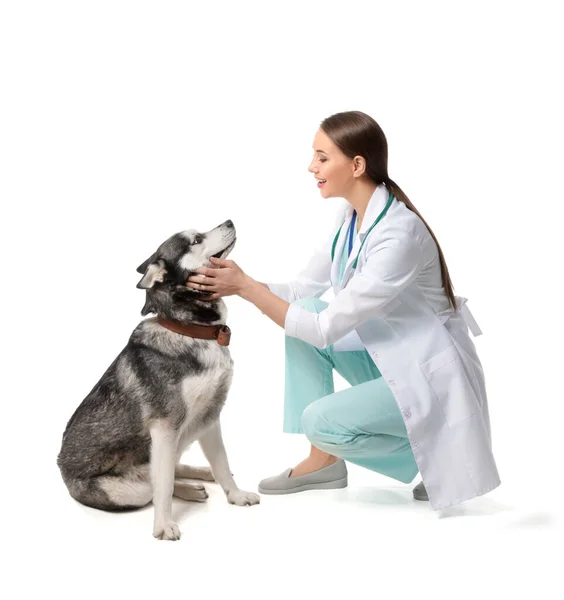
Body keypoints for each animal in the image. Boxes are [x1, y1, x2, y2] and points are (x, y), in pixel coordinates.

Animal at [57, 217, 260, 540]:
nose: (229, 220)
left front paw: (236, 495)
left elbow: (221, 463)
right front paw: (163, 525)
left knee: (170, 468)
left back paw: (199, 475)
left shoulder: (210, 416)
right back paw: (189, 488)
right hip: (130, 487)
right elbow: (162, 486)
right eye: (195, 240)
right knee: (153, 485)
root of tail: (61, 470)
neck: (190, 330)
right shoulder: (165, 427)